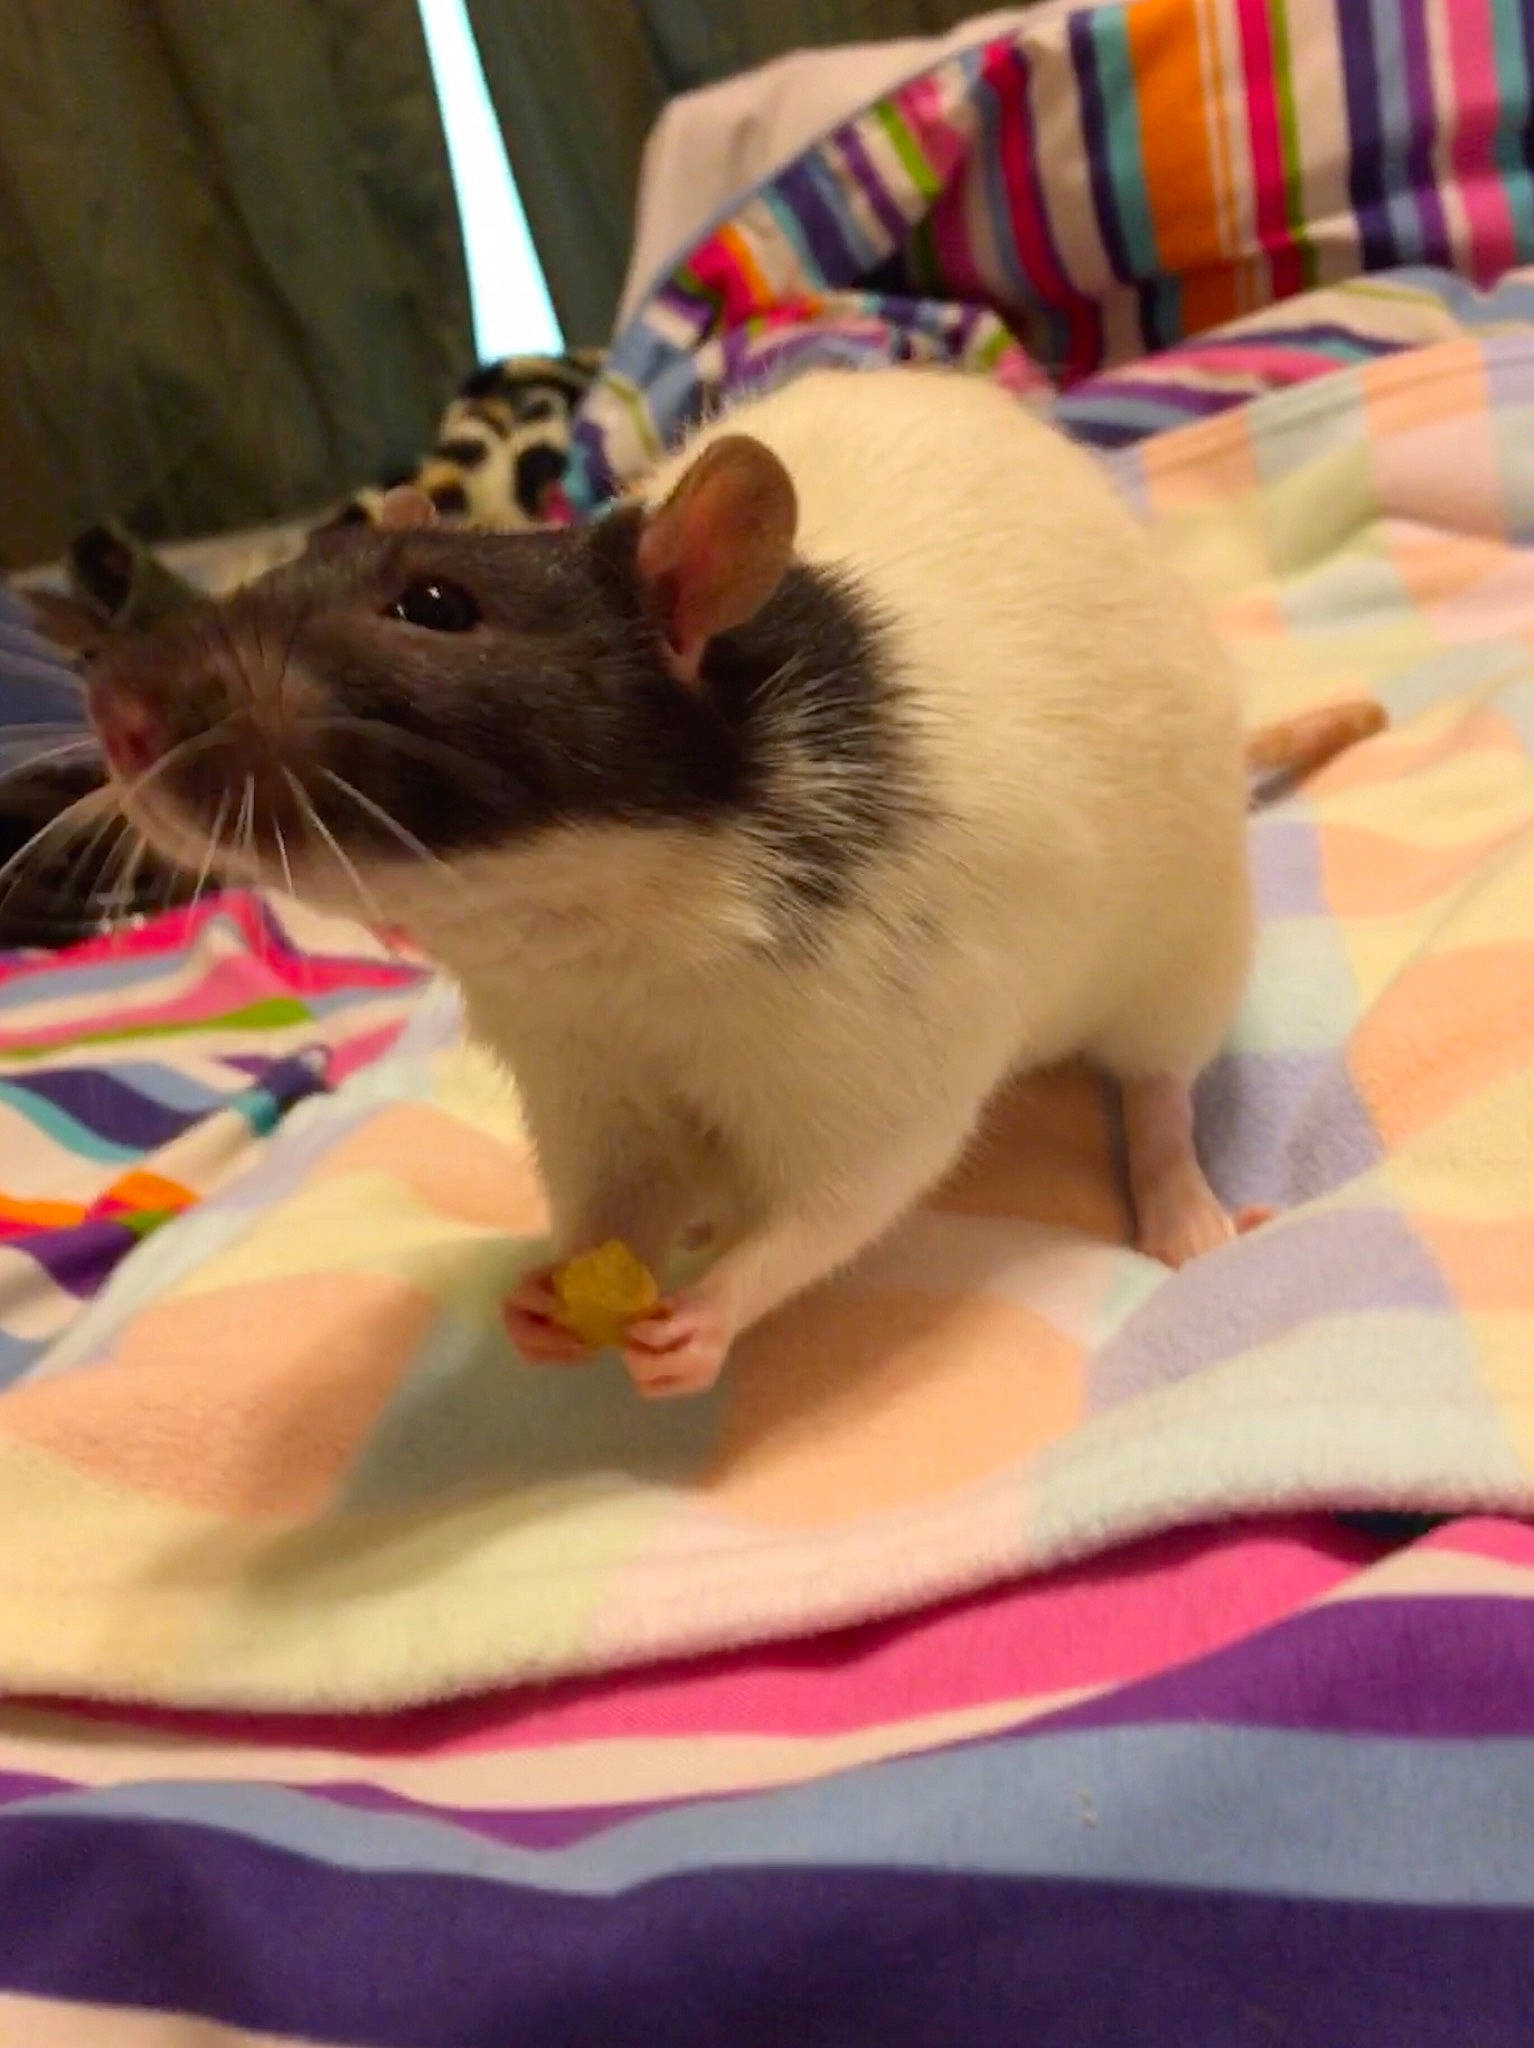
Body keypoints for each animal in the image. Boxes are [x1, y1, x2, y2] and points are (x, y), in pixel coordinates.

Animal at [87, 367, 1291, 1398]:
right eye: (280, 571)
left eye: (432, 604)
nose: (114, 709)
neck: (593, 933)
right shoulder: (577, 1067)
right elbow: (611, 1189)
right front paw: (547, 1290)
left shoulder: (878, 1032)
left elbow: (857, 1182)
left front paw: (714, 1309)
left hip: (1189, 946)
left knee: (1158, 1079)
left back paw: (1180, 1203)